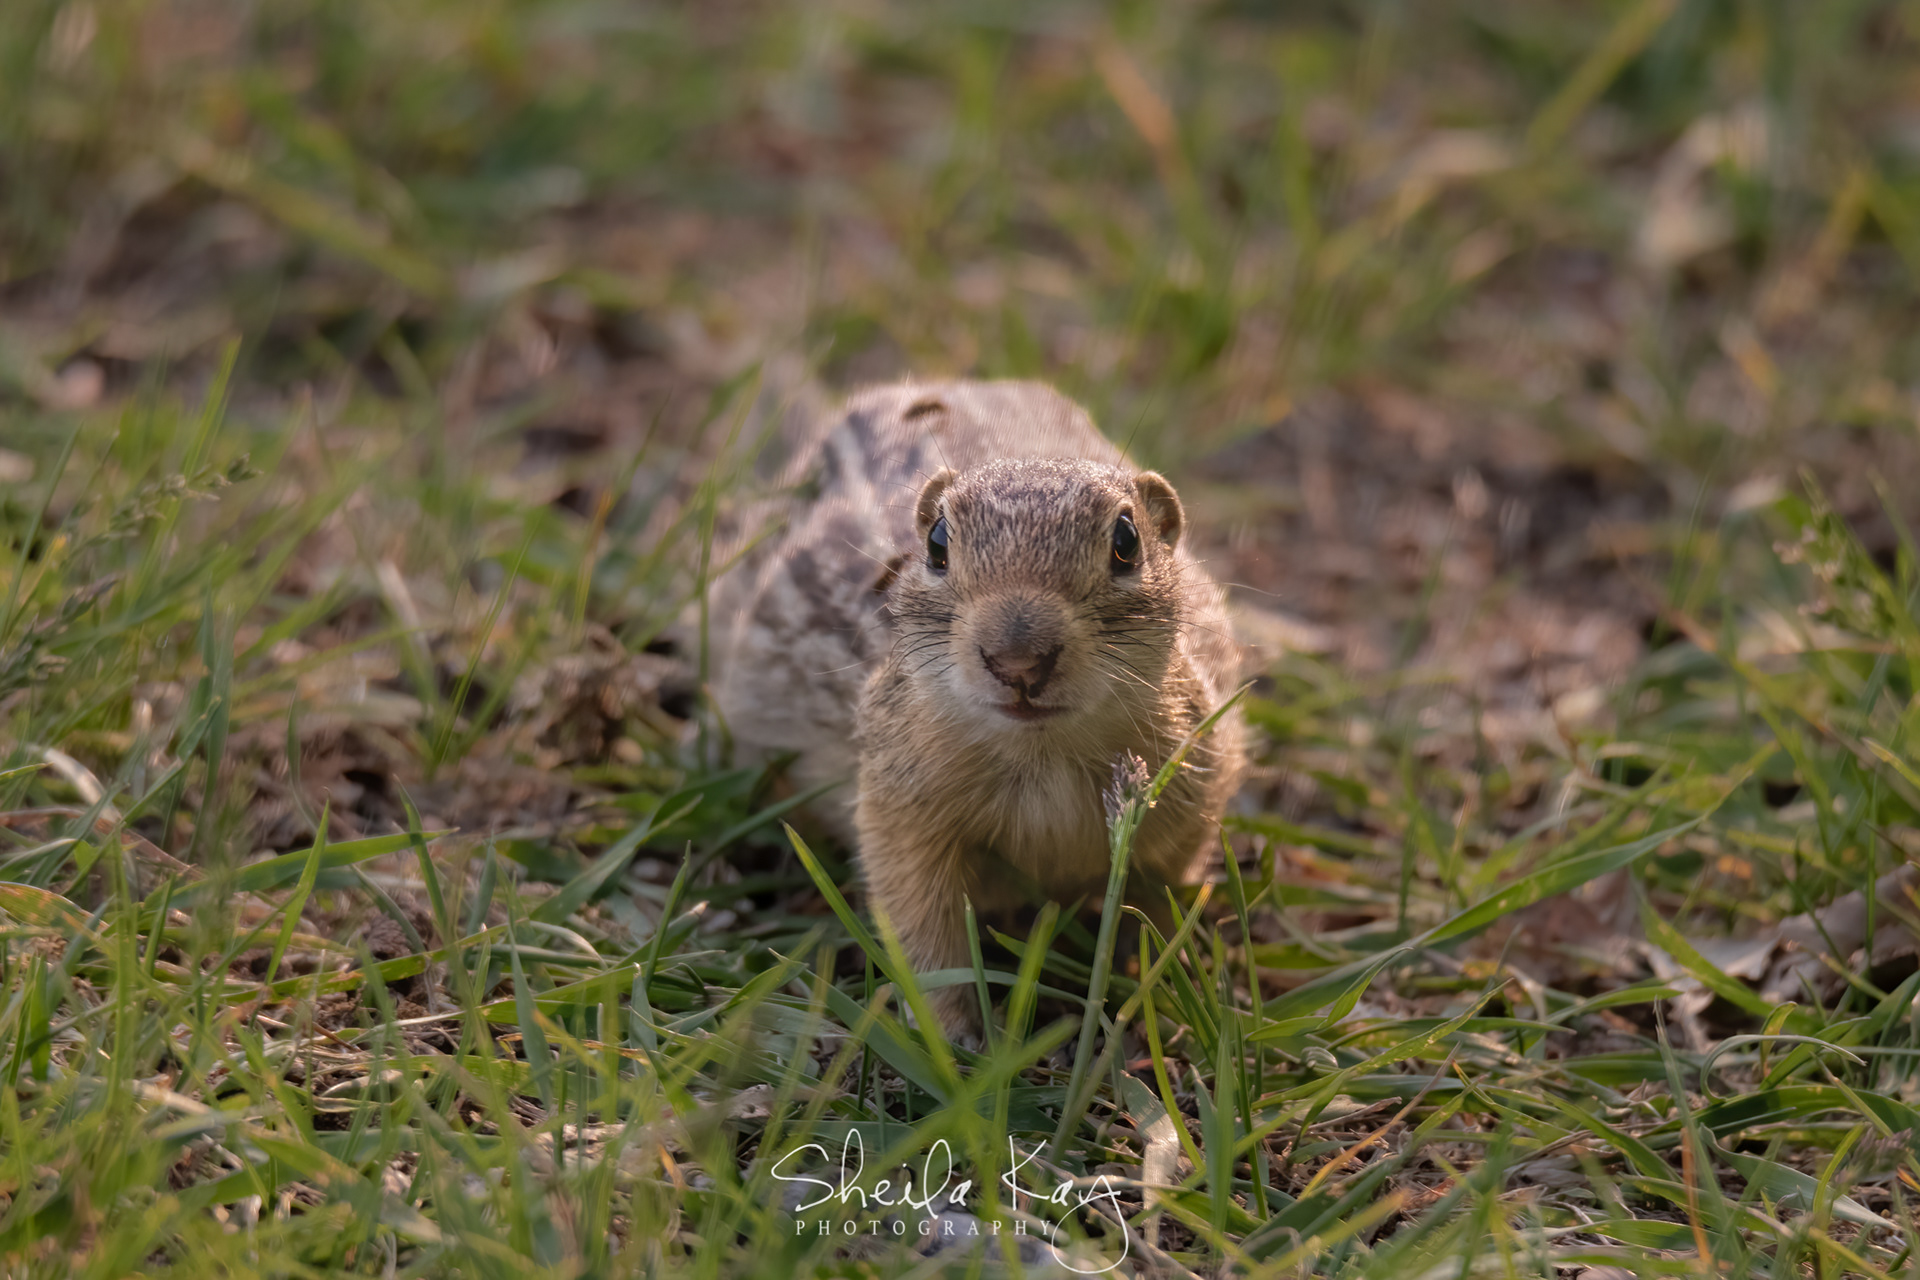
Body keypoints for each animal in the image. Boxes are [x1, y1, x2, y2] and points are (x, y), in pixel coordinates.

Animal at [708, 380, 1247, 1041]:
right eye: (937, 543)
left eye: (1127, 542)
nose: (1017, 660)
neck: (1044, 753)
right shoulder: (900, 816)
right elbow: (923, 932)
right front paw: (952, 1034)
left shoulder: (1185, 811)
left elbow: (1155, 913)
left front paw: (1153, 995)